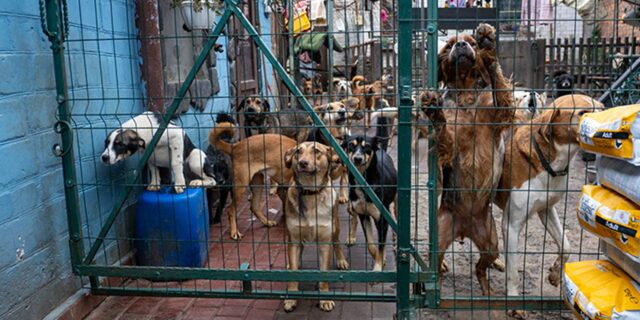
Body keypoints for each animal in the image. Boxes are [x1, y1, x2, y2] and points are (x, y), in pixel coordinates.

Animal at [282, 142, 348, 312]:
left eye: (316, 151)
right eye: (298, 152)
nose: (302, 163)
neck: (310, 192)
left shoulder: (325, 242)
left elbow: (323, 274)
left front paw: (324, 299)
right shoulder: (293, 239)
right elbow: (293, 273)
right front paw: (291, 298)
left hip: (336, 226)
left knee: (337, 243)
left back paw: (341, 260)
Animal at [342, 134, 398, 272]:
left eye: (367, 146)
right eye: (351, 145)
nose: (357, 158)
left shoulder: (381, 219)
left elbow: (381, 244)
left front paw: (378, 267)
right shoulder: (364, 215)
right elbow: (371, 244)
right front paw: (380, 258)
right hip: (353, 204)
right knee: (354, 217)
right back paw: (351, 236)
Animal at [492, 93, 604, 318]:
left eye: (603, 108)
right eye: (583, 112)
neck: (551, 162)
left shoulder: (546, 210)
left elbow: (566, 246)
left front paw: (554, 274)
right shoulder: (511, 225)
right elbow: (514, 271)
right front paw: (514, 303)